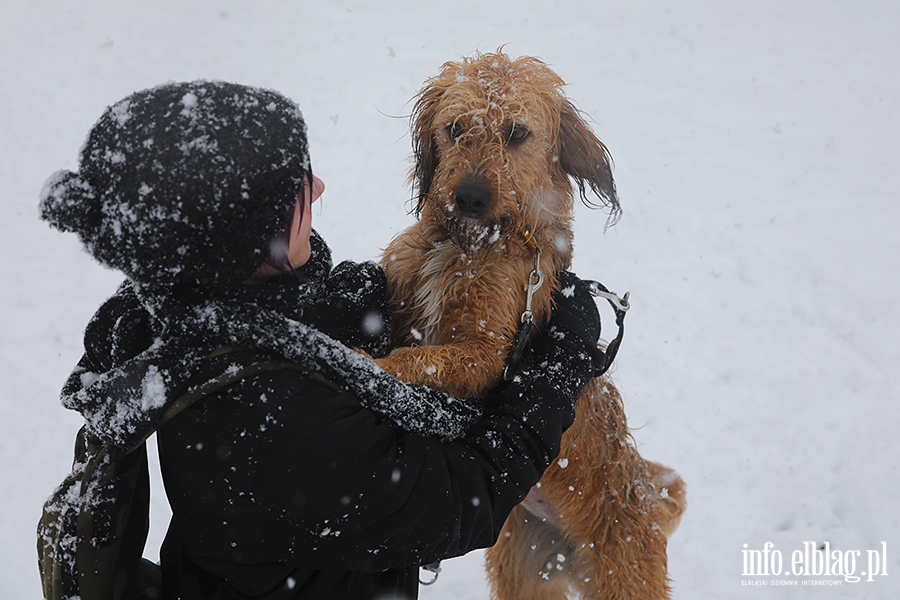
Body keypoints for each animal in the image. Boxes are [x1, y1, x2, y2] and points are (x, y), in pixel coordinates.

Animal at [376, 51, 684, 600]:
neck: (468, 243)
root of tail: (649, 503)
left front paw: (360, 360)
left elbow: (415, 360)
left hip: (624, 572)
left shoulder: (486, 353)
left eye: (516, 133)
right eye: (455, 128)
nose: (471, 196)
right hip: (523, 567)